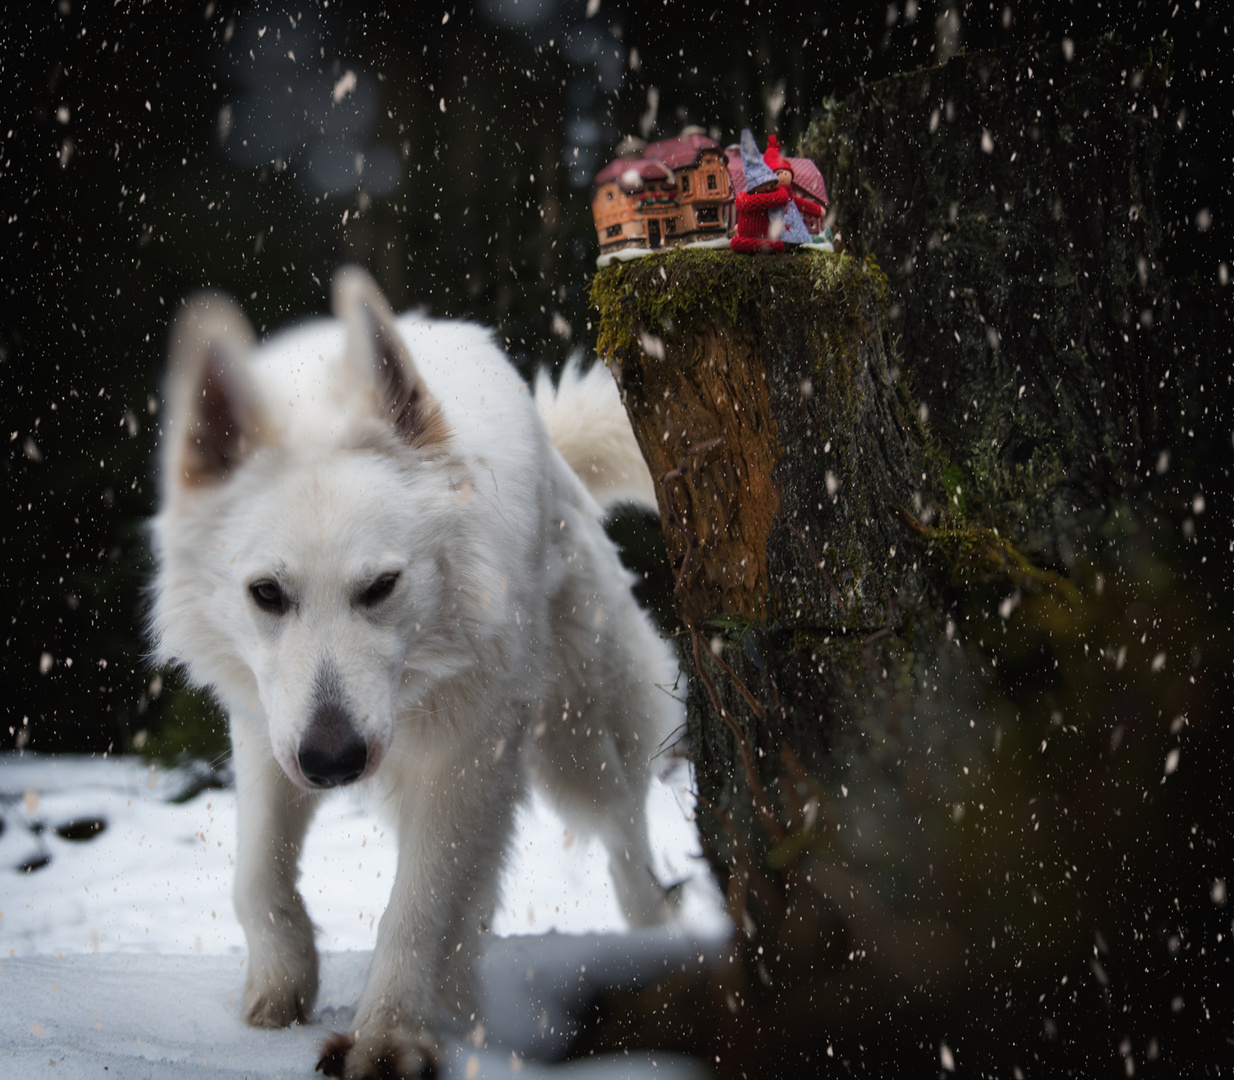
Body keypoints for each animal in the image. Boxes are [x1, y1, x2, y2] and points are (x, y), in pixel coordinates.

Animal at [151, 267, 686, 1080]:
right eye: (267, 594)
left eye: (381, 587)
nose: (334, 761)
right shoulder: (268, 732)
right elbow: (257, 876)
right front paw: (282, 986)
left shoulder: (464, 760)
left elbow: (418, 907)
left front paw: (391, 1036)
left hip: (578, 739)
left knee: (625, 832)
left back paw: (650, 942)